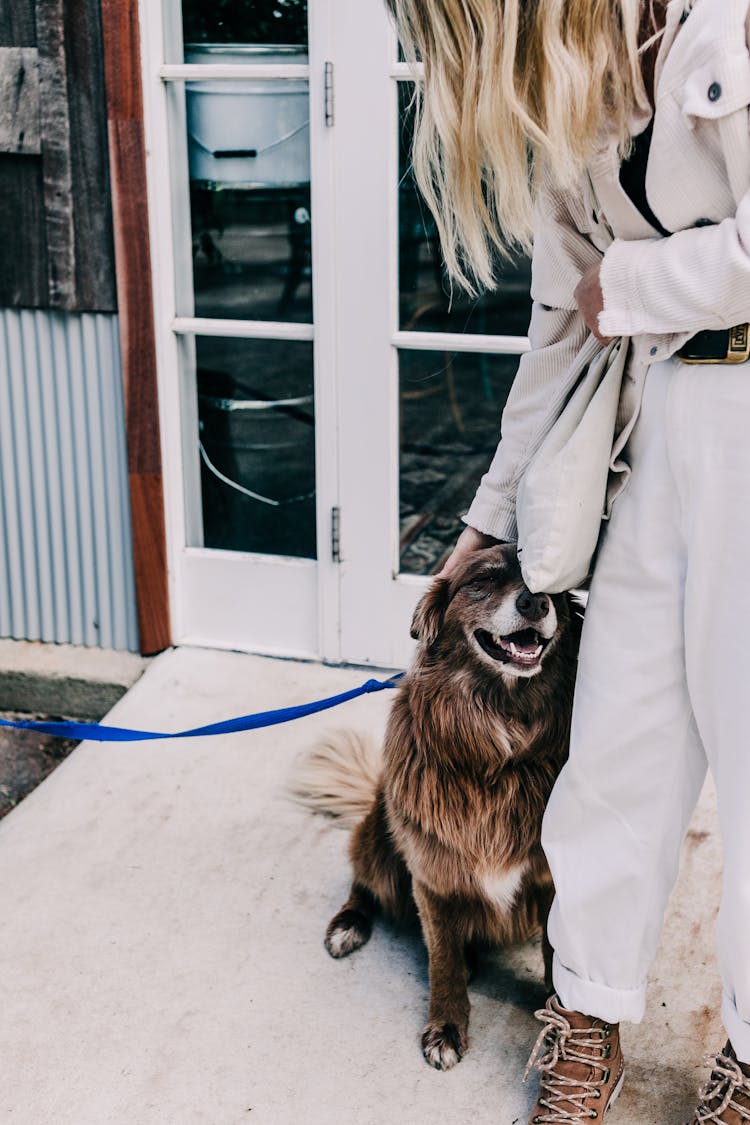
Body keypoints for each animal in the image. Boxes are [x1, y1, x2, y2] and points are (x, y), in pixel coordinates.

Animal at [292, 544, 580, 1071]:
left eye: (552, 587)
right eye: (483, 579)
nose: (534, 602)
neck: (500, 740)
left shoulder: (551, 880)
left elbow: (555, 959)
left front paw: (557, 1031)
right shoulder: (433, 874)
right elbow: (442, 962)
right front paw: (445, 1028)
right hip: (380, 828)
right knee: (363, 882)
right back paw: (348, 925)